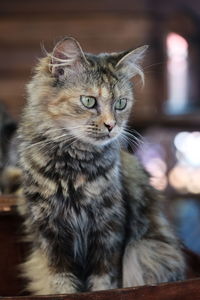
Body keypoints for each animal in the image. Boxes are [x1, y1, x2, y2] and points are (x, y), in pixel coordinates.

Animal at [17, 36, 186, 294]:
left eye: (120, 104)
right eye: (88, 101)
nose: (111, 125)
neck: (72, 168)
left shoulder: (110, 228)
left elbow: (104, 280)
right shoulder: (50, 232)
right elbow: (61, 280)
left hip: (149, 248)